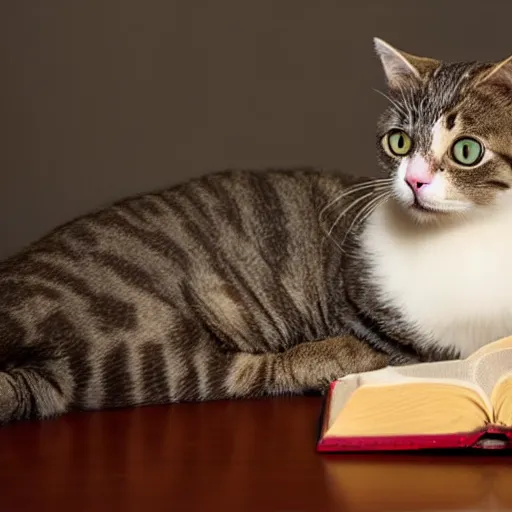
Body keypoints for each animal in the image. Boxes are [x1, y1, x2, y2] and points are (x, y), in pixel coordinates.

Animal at [0, 38, 510, 426]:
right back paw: (338, 356)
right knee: (237, 373)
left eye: (466, 150)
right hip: (153, 331)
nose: (415, 181)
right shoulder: (369, 315)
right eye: (399, 142)